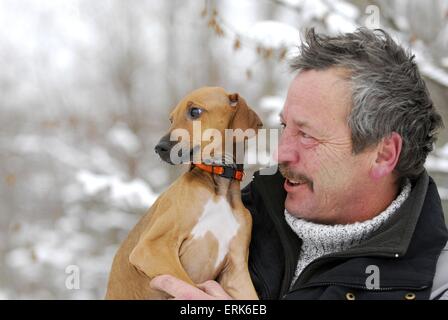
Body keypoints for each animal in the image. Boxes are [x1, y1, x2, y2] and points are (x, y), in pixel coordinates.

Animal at [106, 86, 262, 298]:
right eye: (171, 120)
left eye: (194, 111)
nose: (159, 148)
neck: (220, 187)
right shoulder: (151, 248)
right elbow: (192, 287)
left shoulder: (236, 271)